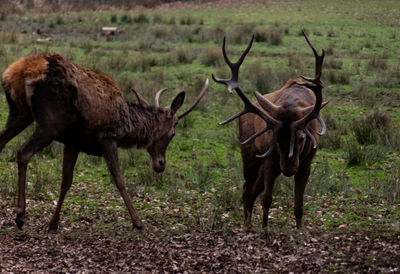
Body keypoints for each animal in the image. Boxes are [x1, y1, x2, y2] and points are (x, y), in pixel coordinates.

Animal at [1, 52, 209, 231]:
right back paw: (20, 215)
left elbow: (66, 181)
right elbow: (119, 179)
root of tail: (19, 71)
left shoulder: (73, 142)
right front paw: (138, 222)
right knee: (23, 152)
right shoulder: (108, 138)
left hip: (19, 113)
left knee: (2, 142)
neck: (127, 126)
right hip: (50, 123)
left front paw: (53, 223)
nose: (160, 164)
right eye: (172, 133)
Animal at [212, 30, 324, 229]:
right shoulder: (270, 160)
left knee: (252, 192)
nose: (289, 169)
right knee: (246, 191)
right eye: (276, 139)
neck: (292, 106)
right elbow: (267, 200)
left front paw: (299, 229)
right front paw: (264, 229)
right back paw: (247, 225)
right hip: (249, 155)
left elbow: (299, 206)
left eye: (302, 138)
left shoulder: (306, 163)